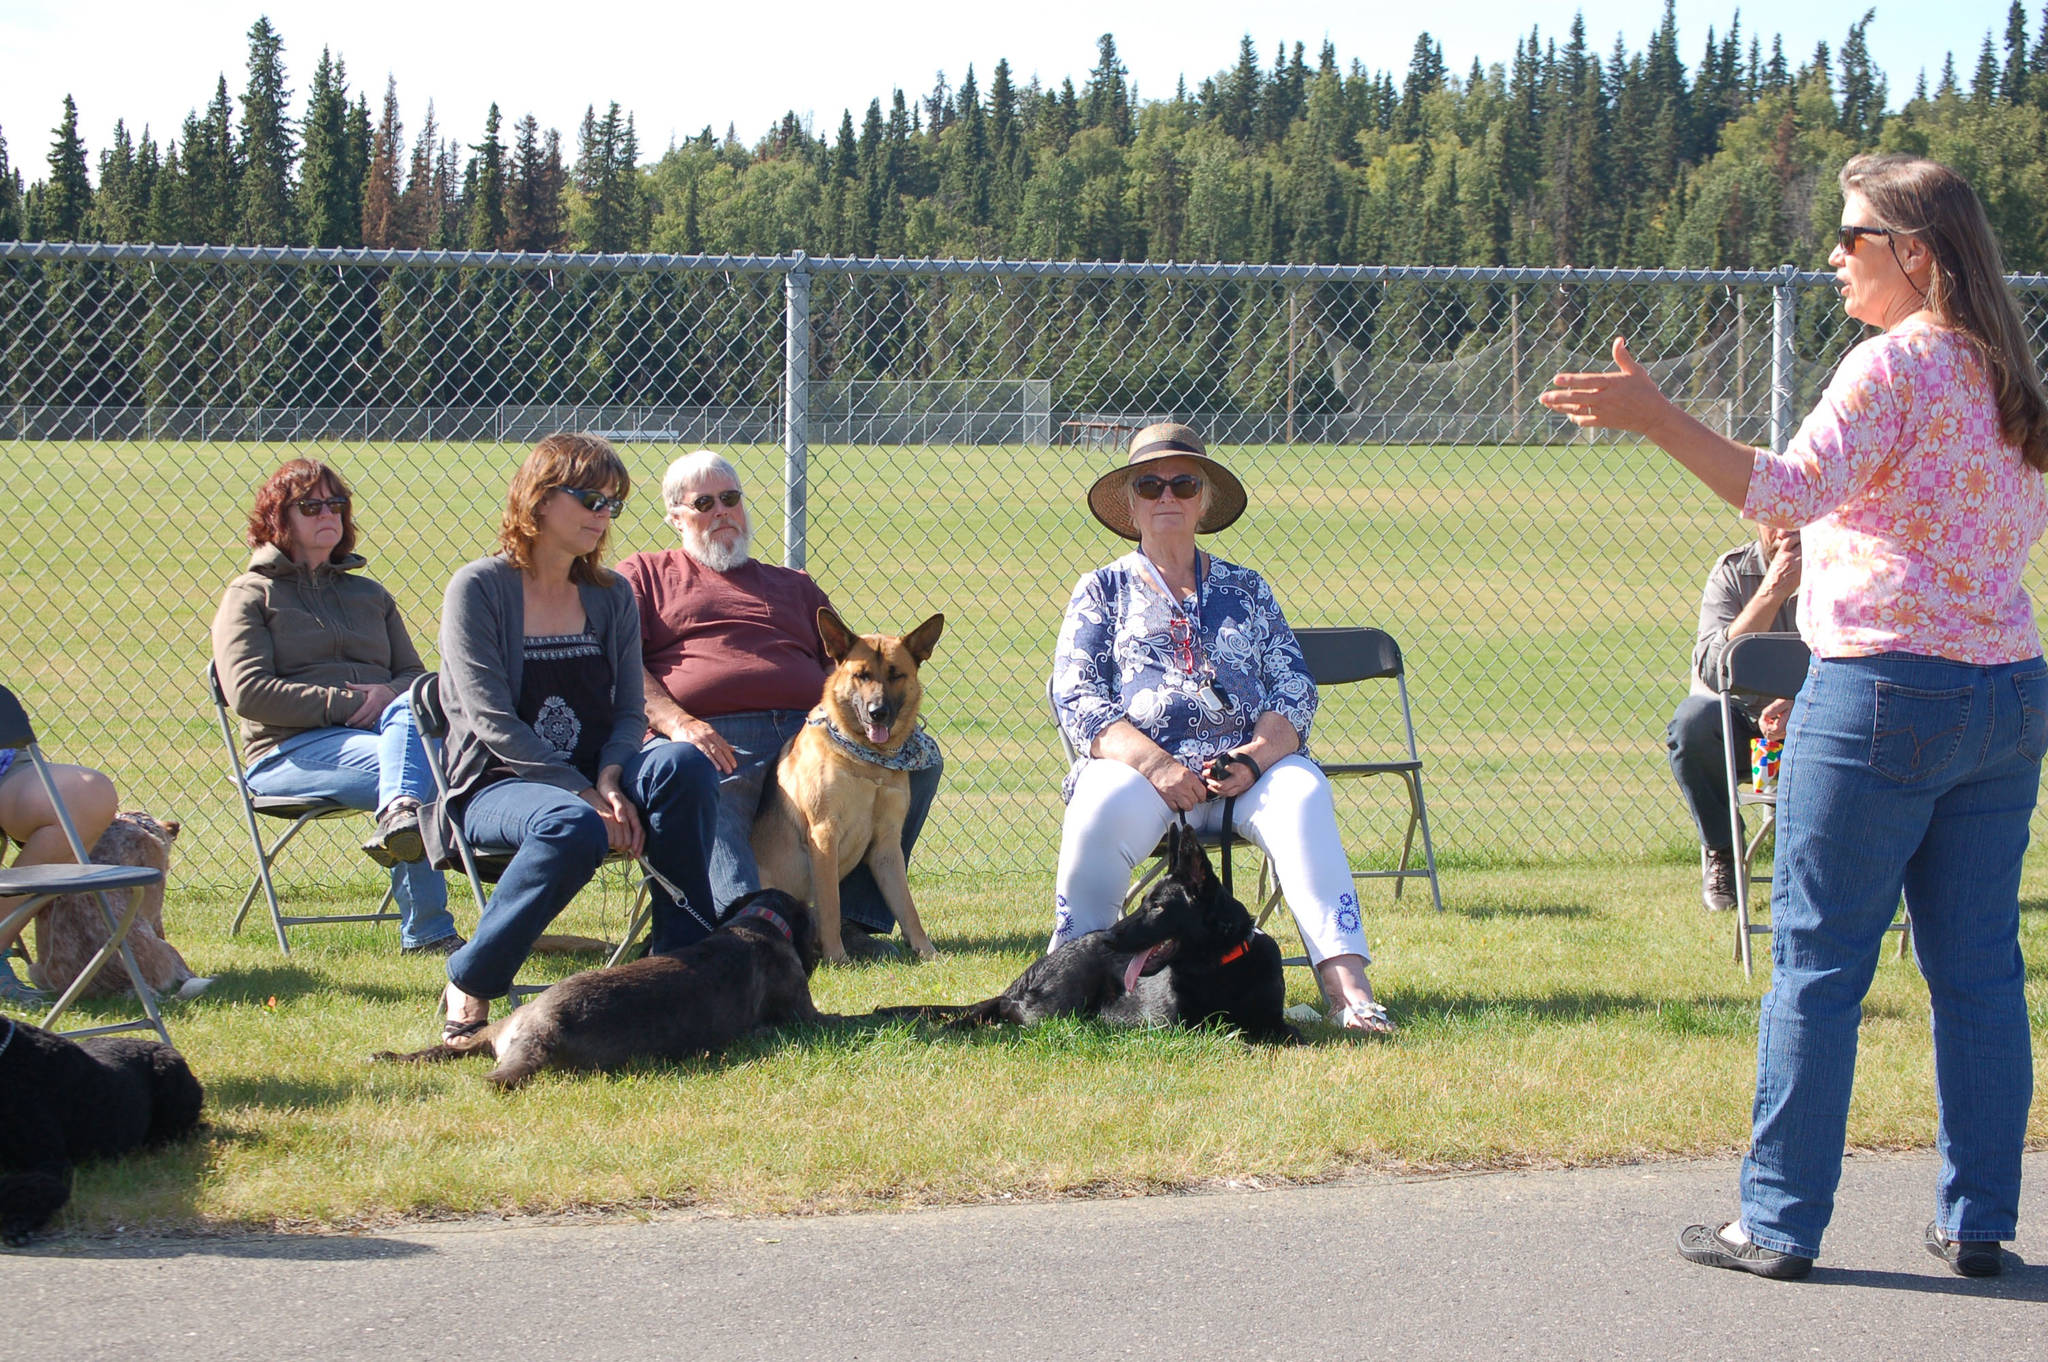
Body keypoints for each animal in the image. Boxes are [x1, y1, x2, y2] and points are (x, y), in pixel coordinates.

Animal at [372, 888, 819, 1089]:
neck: (757, 923)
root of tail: (542, 1030)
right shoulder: (806, 1016)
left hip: (492, 1029)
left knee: (448, 1048)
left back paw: (391, 1056)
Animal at [753, 606, 942, 966]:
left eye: (896, 674)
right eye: (861, 675)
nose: (878, 713)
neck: (870, 763)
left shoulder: (886, 845)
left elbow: (907, 908)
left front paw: (927, 952)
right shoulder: (824, 836)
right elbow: (830, 905)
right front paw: (836, 957)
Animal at [868, 819, 1286, 1040]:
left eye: (1157, 907)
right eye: (1144, 903)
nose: (1110, 939)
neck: (1220, 965)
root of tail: (1017, 984)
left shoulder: (1276, 1024)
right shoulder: (1179, 1028)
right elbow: (1233, 1035)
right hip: (1060, 1003)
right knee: (1012, 1013)